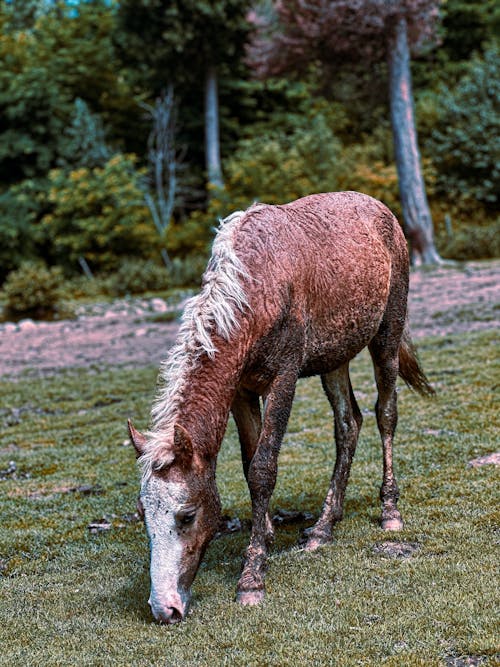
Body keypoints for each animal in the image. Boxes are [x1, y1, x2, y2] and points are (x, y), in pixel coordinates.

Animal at [128, 190, 434, 624]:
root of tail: (383, 210)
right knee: (348, 423)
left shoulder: (283, 378)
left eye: (186, 515)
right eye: (143, 513)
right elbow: (249, 462)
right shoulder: (241, 389)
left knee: (385, 414)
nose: (163, 607)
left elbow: (263, 469)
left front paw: (252, 576)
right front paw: (269, 536)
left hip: (387, 337)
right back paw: (323, 527)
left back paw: (389, 510)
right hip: (335, 358)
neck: (254, 291)